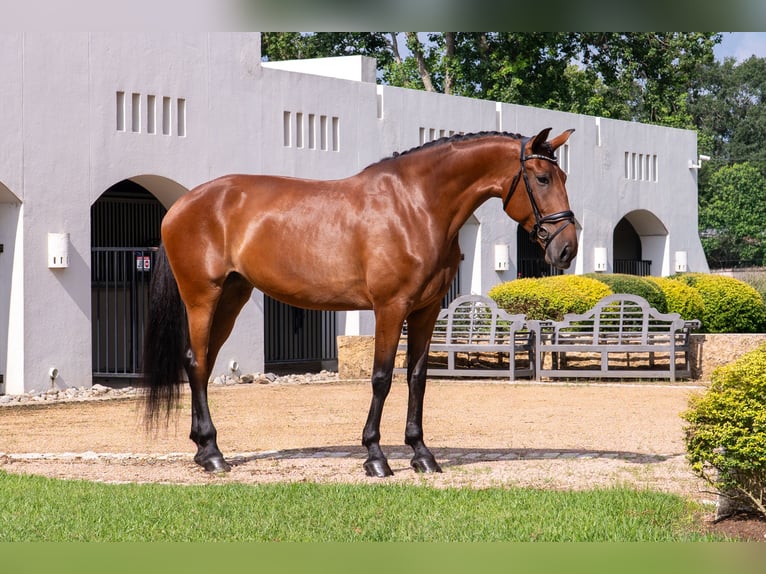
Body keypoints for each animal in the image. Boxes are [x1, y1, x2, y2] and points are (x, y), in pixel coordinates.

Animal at [141, 127, 578, 478]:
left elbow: (417, 378)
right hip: (203, 298)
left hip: (233, 296)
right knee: (196, 363)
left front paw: (422, 454)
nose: (567, 248)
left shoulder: (426, 311)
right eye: (541, 178)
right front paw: (375, 457)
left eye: (563, 177)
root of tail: (181, 205)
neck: (416, 205)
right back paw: (213, 453)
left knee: (204, 362)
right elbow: (382, 377)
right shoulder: (390, 308)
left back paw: (203, 449)